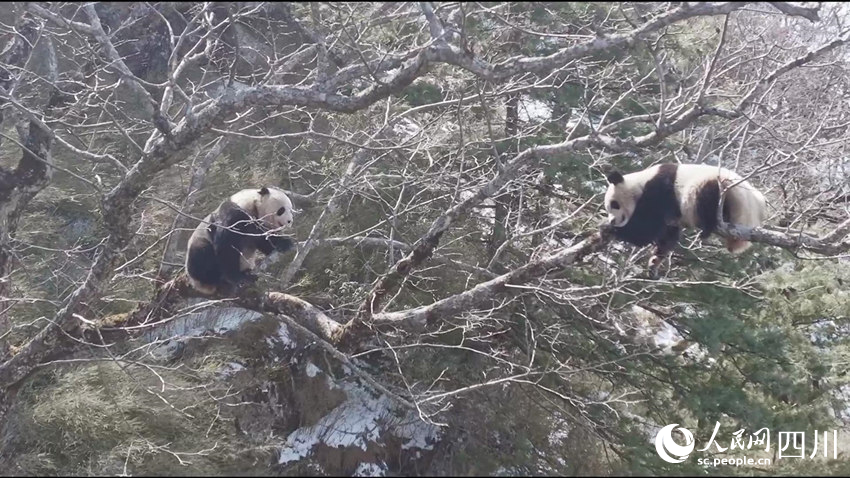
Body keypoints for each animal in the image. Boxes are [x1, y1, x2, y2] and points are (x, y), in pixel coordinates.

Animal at [600, 162, 764, 272]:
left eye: (614, 205)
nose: (613, 220)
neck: (640, 181)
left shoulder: (660, 189)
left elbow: (645, 230)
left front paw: (606, 228)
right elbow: (668, 234)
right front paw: (655, 260)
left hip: (716, 186)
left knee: (707, 199)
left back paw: (708, 226)